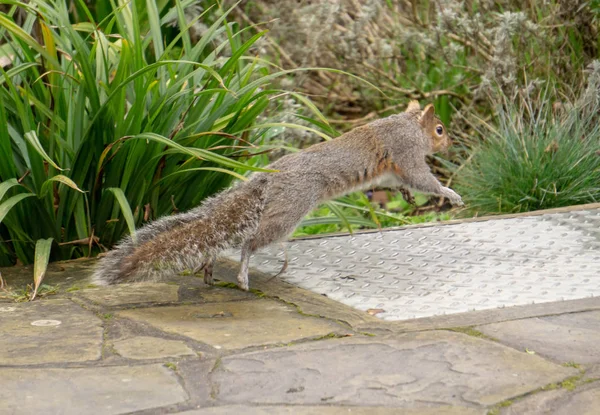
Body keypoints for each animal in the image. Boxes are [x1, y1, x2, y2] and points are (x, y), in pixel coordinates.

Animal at [91, 101, 462, 290]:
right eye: (439, 129)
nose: (450, 144)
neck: (408, 125)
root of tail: (267, 179)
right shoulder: (406, 152)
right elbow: (423, 179)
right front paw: (450, 193)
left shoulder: (390, 171)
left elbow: (401, 184)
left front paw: (410, 198)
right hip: (289, 211)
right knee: (249, 243)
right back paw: (241, 274)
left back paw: (210, 267)